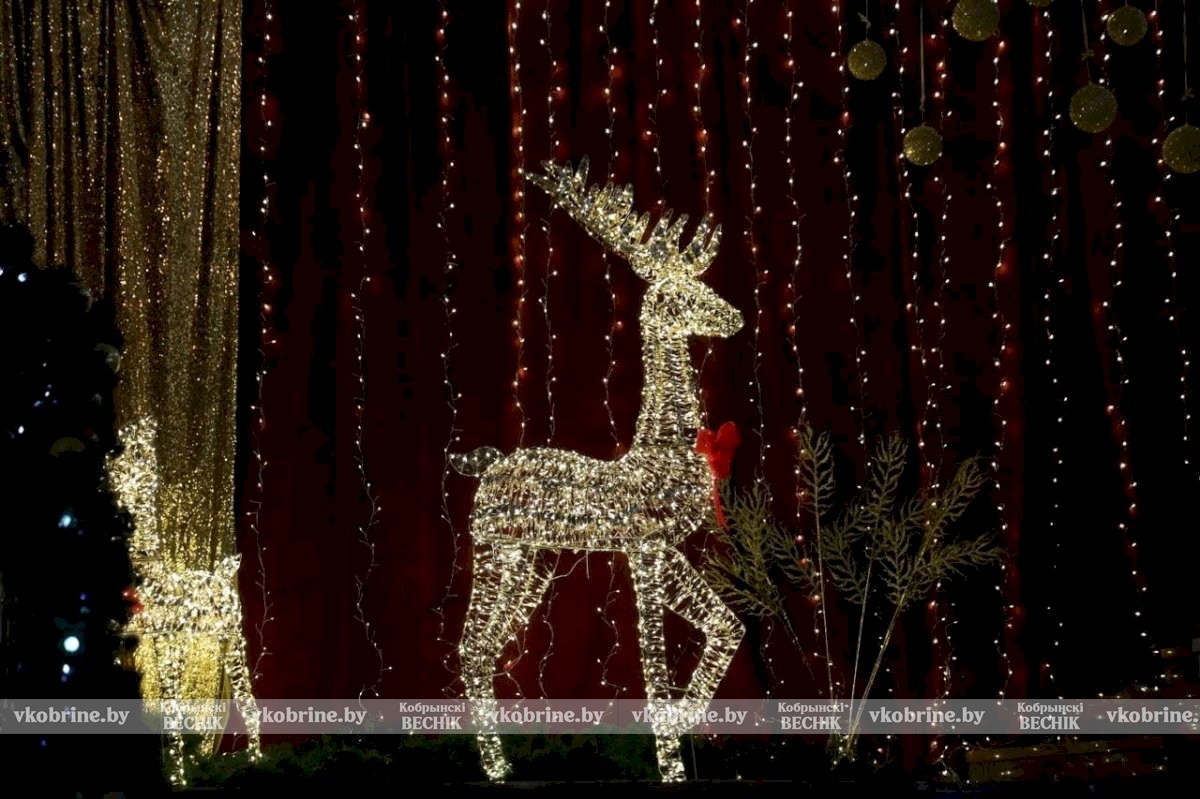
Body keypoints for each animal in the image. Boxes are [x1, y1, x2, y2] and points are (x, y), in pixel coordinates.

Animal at [452, 159, 745, 782]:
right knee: (469, 644)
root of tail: (487, 464)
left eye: (706, 282)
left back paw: (502, 767)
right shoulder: (644, 550)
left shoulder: (664, 550)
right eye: (682, 292)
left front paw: (683, 731)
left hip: (534, 563)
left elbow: (727, 627)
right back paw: (495, 768)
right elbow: (654, 669)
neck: (659, 448)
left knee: (483, 649)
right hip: (494, 554)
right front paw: (670, 760)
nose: (734, 317)